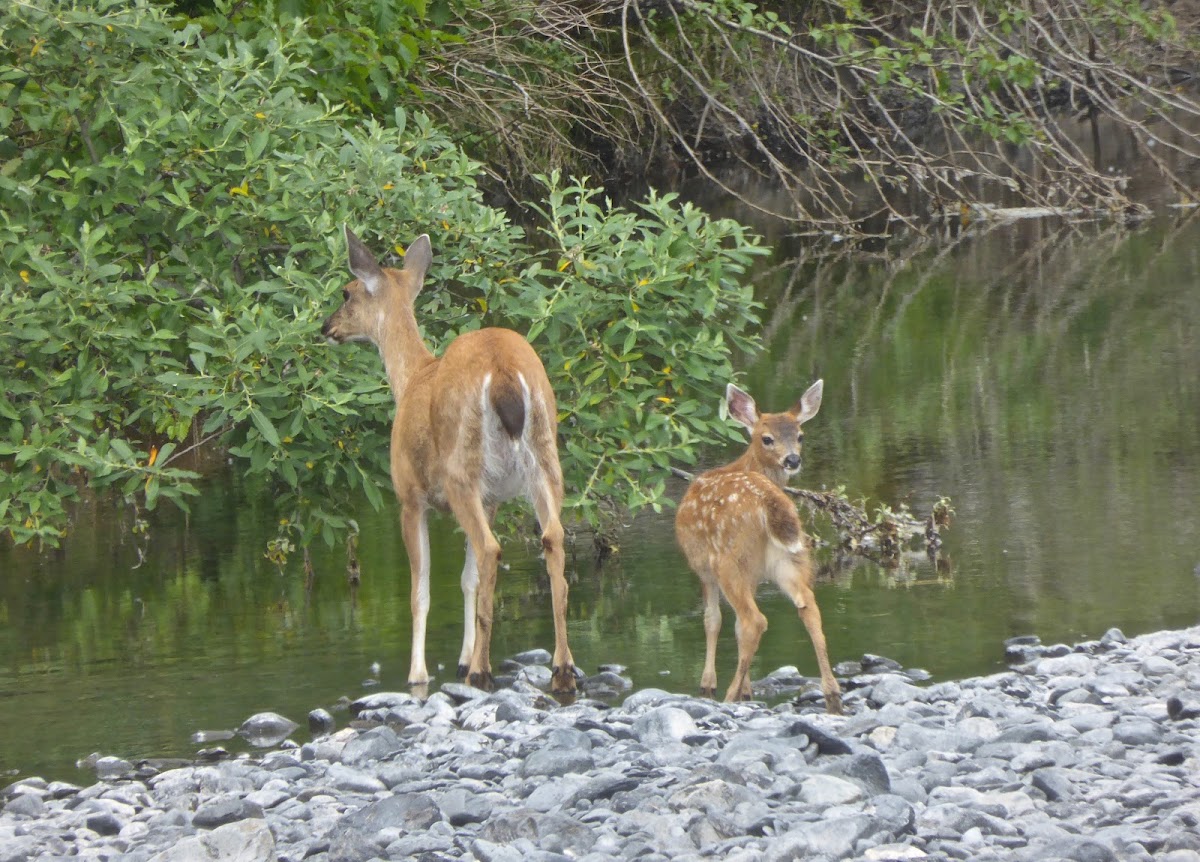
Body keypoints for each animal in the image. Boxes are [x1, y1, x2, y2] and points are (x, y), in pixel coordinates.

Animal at [324, 229, 576, 696]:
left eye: (347, 292)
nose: (327, 326)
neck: (411, 378)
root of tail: (504, 372)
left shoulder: (409, 495)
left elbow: (420, 590)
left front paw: (420, 672)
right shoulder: (492, 498)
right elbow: (466, 579)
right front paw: (460, 659)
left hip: (462, 469)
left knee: (491, 548)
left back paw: (483, 671)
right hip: (544, 456)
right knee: (552, 537)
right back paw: (562, 670)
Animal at [676, 379, 844, 715]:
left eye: (800, 436)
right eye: (767, 438)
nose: (793, 460)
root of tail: (770, 502)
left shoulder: (703, 569)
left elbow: (713, 620)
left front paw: (710, 685)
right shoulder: (753, 575)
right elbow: (734, 628)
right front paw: (747, 690)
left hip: (729, 559)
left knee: (754, 620)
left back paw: (727, 696)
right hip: (791, 557)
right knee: (808, 606)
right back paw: (832, 693)